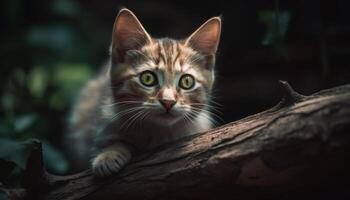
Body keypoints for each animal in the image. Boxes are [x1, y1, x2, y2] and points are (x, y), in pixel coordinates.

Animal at [66, 8, 221, 177]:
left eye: (187, 81)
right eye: (147, 78)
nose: (168, 102)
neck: (158, 133)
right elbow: (107, 139)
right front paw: (108, 155)